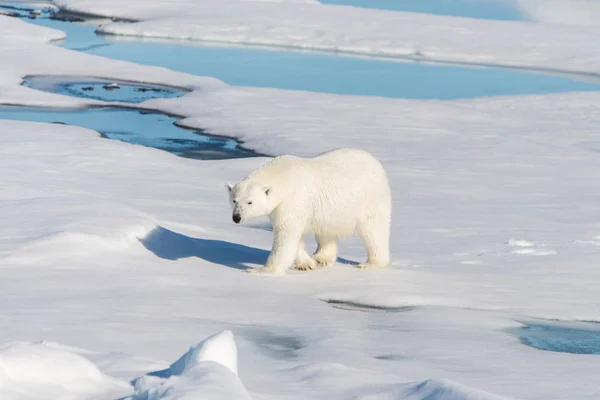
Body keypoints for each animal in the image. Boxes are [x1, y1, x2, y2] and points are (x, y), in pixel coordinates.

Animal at [224, 147, 390, 276]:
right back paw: (321, 258)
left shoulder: (293, 200)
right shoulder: (280, 208)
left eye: (250, 202)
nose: (236, 217)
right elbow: (295, 235)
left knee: (374, 231)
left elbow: (286, 234)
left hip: (371, 199)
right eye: (234, 200)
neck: (283, 176)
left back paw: (371, 263)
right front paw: (306, 264)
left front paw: (262, 270)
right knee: (326, 231)